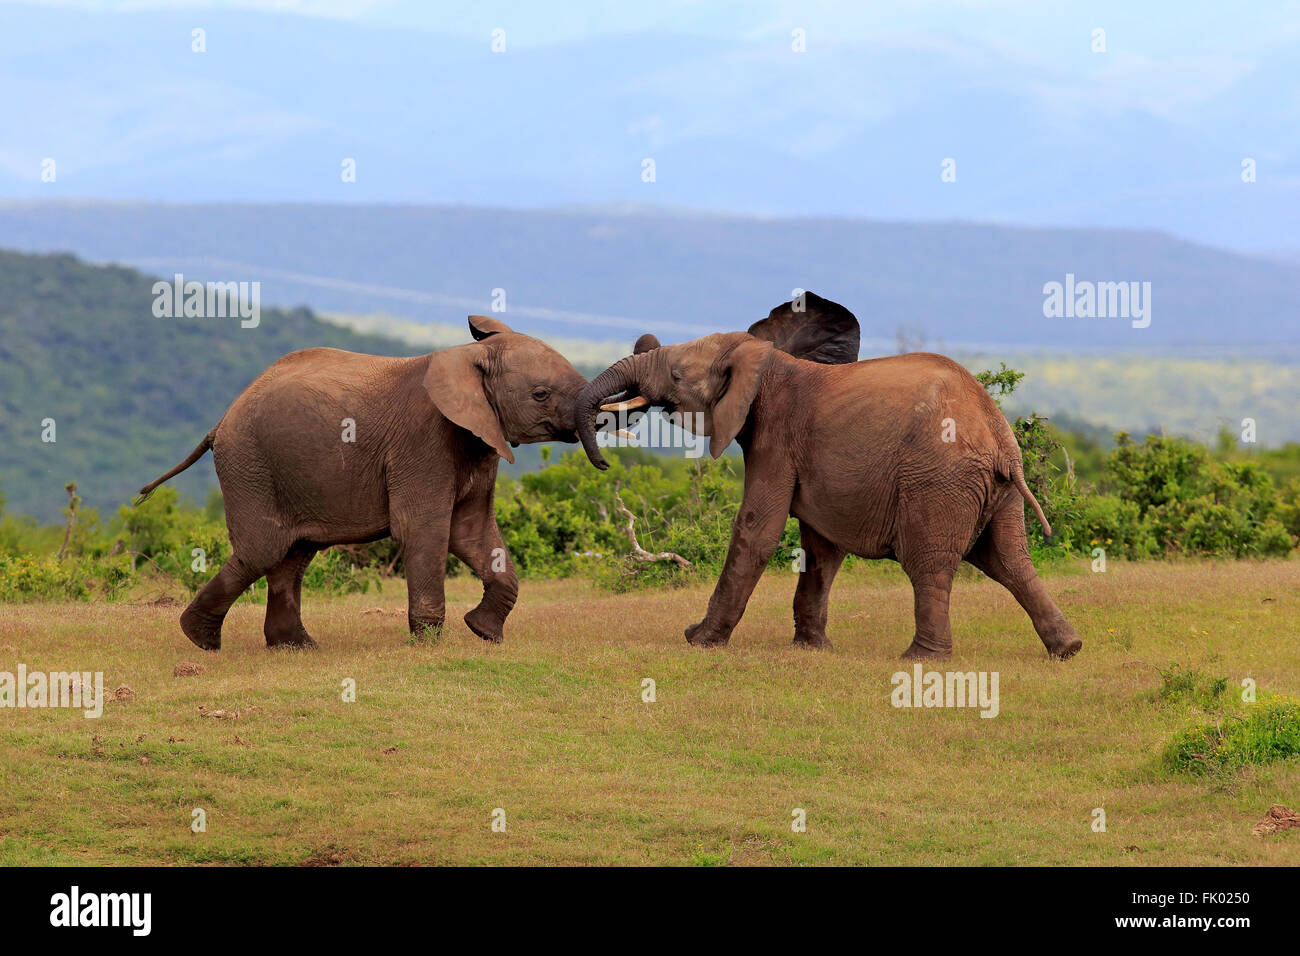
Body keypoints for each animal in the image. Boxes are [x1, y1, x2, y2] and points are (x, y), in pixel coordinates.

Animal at [137, 315, 587, 651]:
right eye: (541, 395)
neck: (466, 355)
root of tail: (221, 421)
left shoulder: (479, 440)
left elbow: (473, 533)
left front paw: (483, 631)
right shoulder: (424, 443)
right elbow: (423, 530)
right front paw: (429, 645)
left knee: (293, 554)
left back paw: (295, 646)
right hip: (250, 465)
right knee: (263, 551)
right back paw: (200, 639)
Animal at [575, 292, 1083, 661]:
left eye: (677, 375)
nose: (604, 465)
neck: (766, 361)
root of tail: (1000, 438)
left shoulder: (776, 438)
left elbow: (757, 531)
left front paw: (699, 640)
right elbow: (821, 548)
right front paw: (812, 648)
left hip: (938, 482)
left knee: (930, 563)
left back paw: (922, 659)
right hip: (994, 490)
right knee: (1010, 560)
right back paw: (1068, 649)